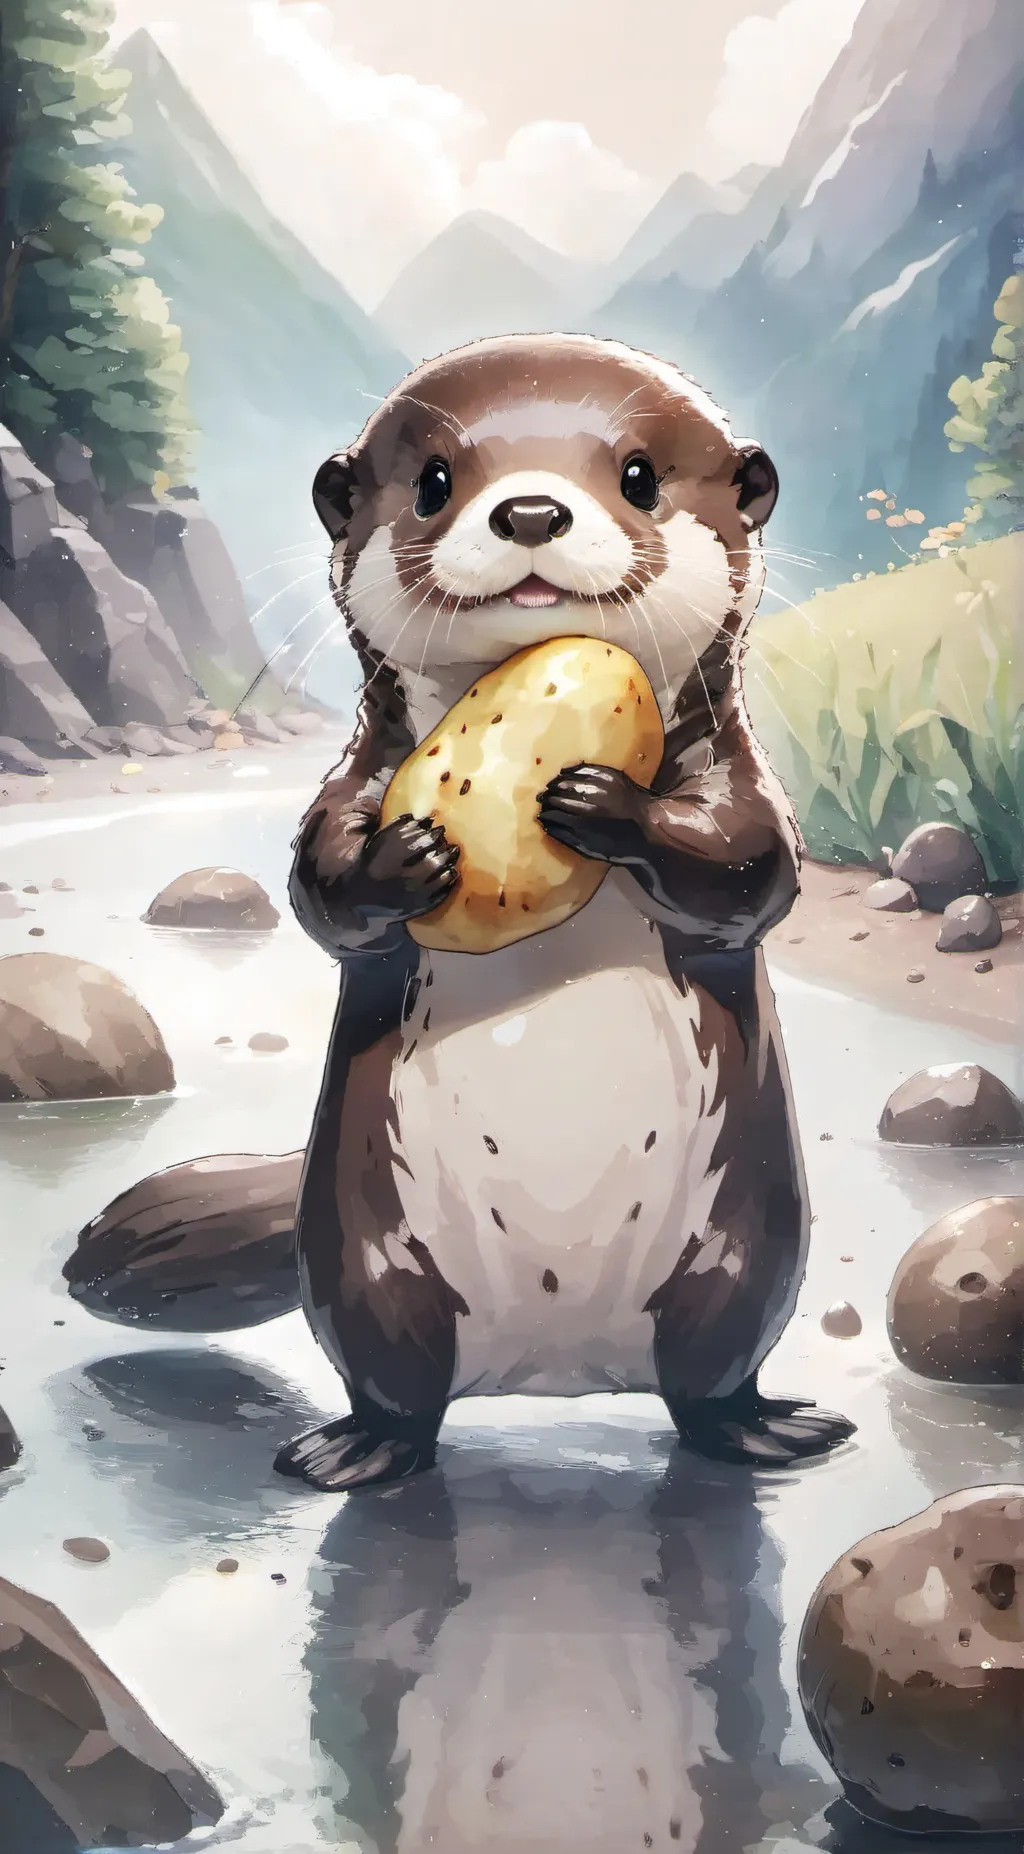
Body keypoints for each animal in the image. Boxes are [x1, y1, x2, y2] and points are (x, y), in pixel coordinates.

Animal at [66, 333, 855, 1492]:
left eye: (639, 475)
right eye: (435, 481)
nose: (529, 510)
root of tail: (557, 1367)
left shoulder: (741, 784)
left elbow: (749, 868)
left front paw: (600, 801)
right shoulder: (355, 778)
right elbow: (320, 887)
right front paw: (412, 858)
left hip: (749, 1247)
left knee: (712, 1374)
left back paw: (772, 1431)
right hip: (359, 1256)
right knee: (396, 1381)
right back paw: (351, 1451)